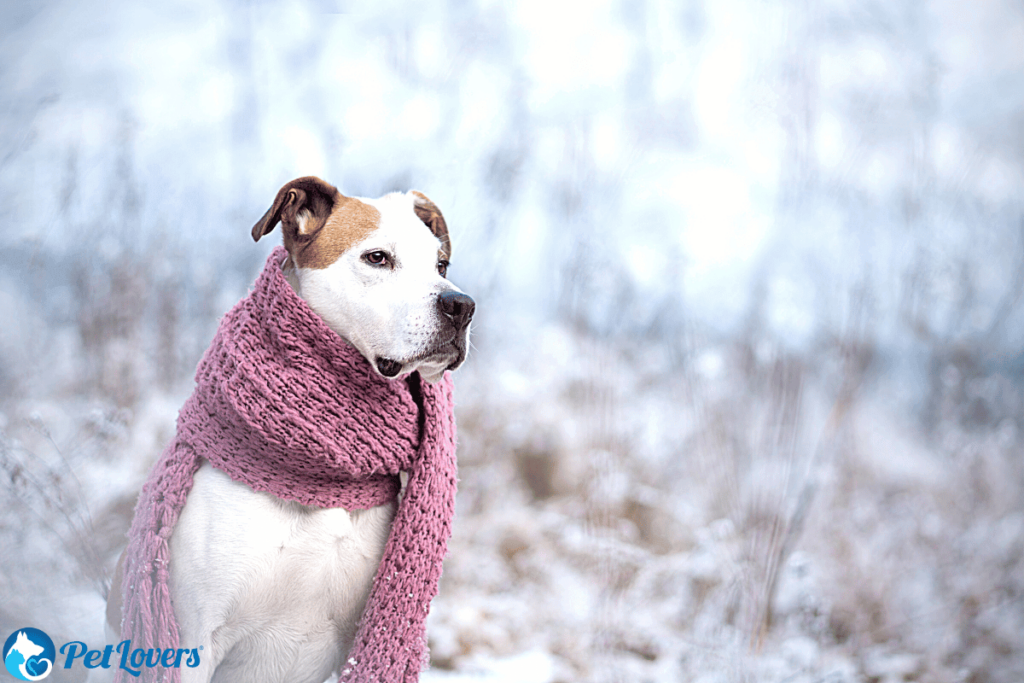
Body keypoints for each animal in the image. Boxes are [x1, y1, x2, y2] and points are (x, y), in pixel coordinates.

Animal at [105, 178, 473, 683]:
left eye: (441, 265)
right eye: (377, 258)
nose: (462, 305)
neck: (322, 475)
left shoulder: (359, 638)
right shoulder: (191, 643)